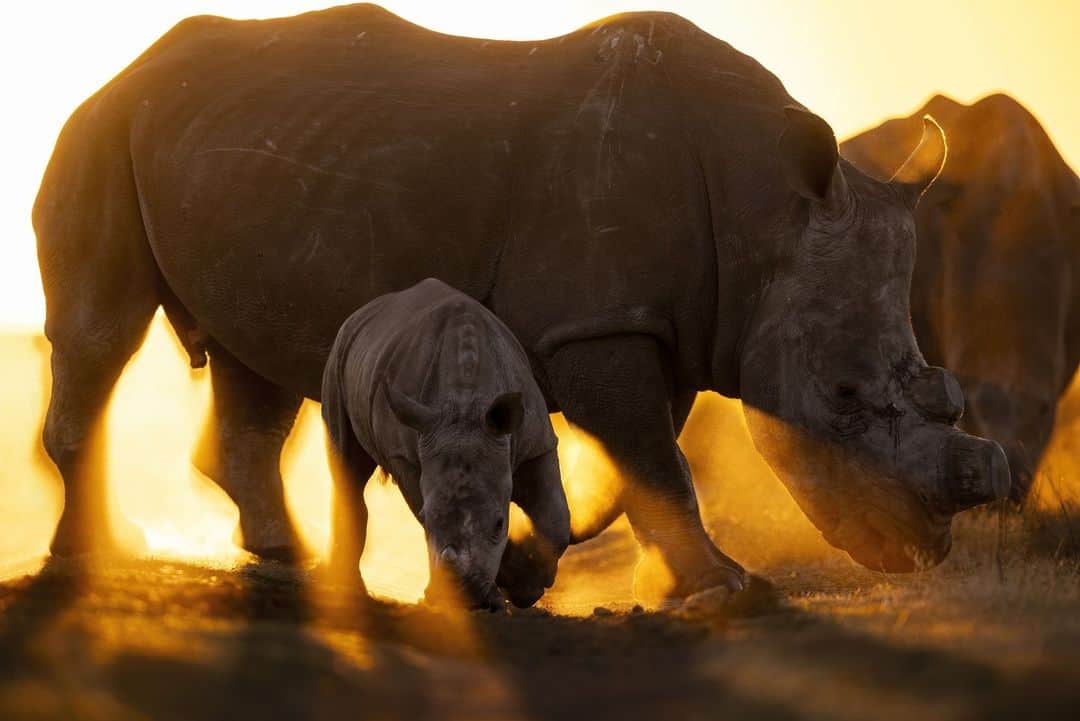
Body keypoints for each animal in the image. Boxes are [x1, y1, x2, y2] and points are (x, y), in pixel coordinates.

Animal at [322, 278, 569, 609]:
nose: (466, 593)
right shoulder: (408, 454)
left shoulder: (536, 443)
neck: (466, 406)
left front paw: (524, 587)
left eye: (499, 523)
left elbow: (557, 520)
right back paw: (351, 592)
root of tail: (361, 313)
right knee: (345, 466)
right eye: (427, 519)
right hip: (339, 355)